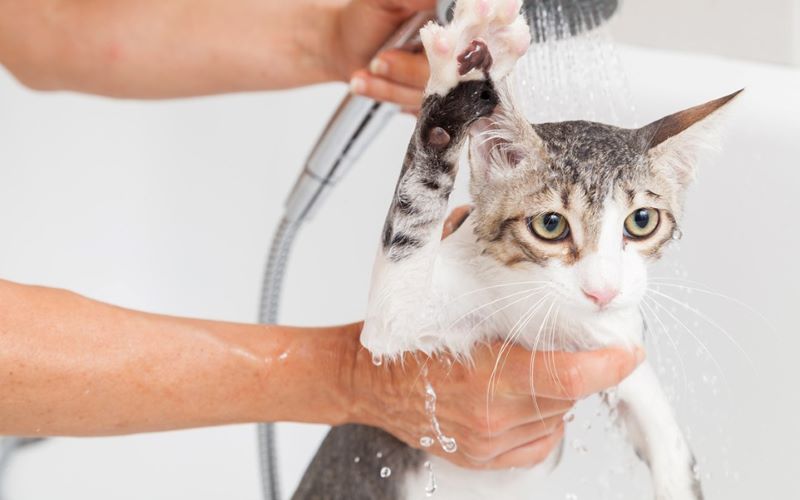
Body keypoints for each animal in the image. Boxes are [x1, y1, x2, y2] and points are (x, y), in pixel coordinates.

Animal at [292, 1, 736, 498]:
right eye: (550, 225)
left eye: (641, 221)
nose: (602, 291)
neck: (549, 317)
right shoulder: (399, 321)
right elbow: (412, 224)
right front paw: (459, 72)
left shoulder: (622, 346)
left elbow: (670, 449)